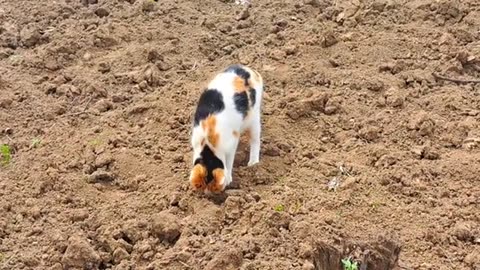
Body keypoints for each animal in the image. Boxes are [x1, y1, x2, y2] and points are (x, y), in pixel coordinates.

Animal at [189, 64, 264, 193]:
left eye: (213, 187)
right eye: (201, 186)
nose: (207, 194)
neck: (208, 144)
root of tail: (250, 70)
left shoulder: (232, 142)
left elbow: (229, 161)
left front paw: (228, 179)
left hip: (254, 116)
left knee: (255, 139)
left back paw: (252, 163)